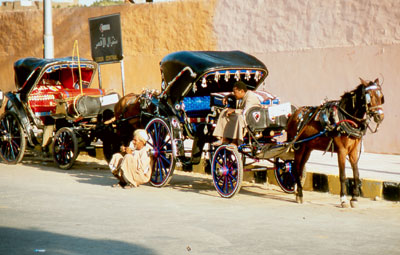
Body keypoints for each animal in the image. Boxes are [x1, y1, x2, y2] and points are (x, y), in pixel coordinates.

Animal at [288, 78, 384, 207]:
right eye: (370, 97)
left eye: (381, 96)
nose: (380, 116)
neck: (347, 119)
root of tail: (294, 114)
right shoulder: (342, 151)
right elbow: (342, 175)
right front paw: (343, 199)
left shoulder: (353, 151)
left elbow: (356, 174)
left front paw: (354, 198)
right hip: (299, 146)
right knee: (295, 168)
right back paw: (300, 194)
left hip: (307, 148)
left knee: (300, 168)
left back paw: (298, 192)